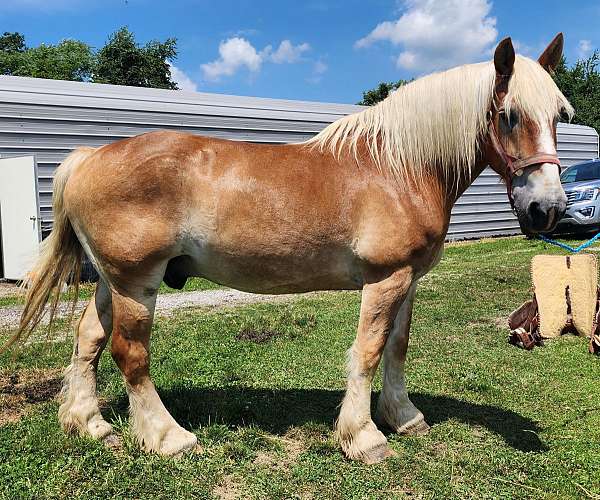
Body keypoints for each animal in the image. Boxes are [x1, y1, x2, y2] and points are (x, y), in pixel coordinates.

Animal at [4, 35, 576, 464]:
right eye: (508, 115)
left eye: (557, 116)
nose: (546, 208)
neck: (398, 168)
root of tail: (89, 157)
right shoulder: (385, 278)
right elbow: (368, 351)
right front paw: (364, 438)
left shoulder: (408, 280)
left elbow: (397, 348)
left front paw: (404, 418)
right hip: (135, 282)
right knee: (130, 353)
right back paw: (169, 437)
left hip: (112, 281)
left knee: (88, 340)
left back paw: (89, 424)